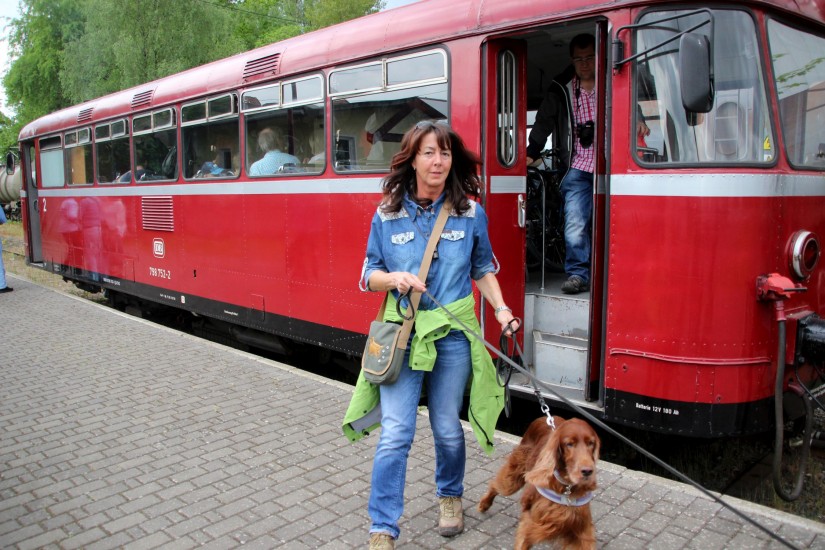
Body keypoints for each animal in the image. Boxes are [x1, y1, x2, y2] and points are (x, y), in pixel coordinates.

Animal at [478, 416, 601, 550]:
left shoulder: (581, 530)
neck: (566, 488)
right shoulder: (531, 522)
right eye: (569, 444)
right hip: (515, 476)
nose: (588, 471)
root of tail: (544, 417)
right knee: (496, 485)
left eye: (591, 443)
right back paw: (484, 504)